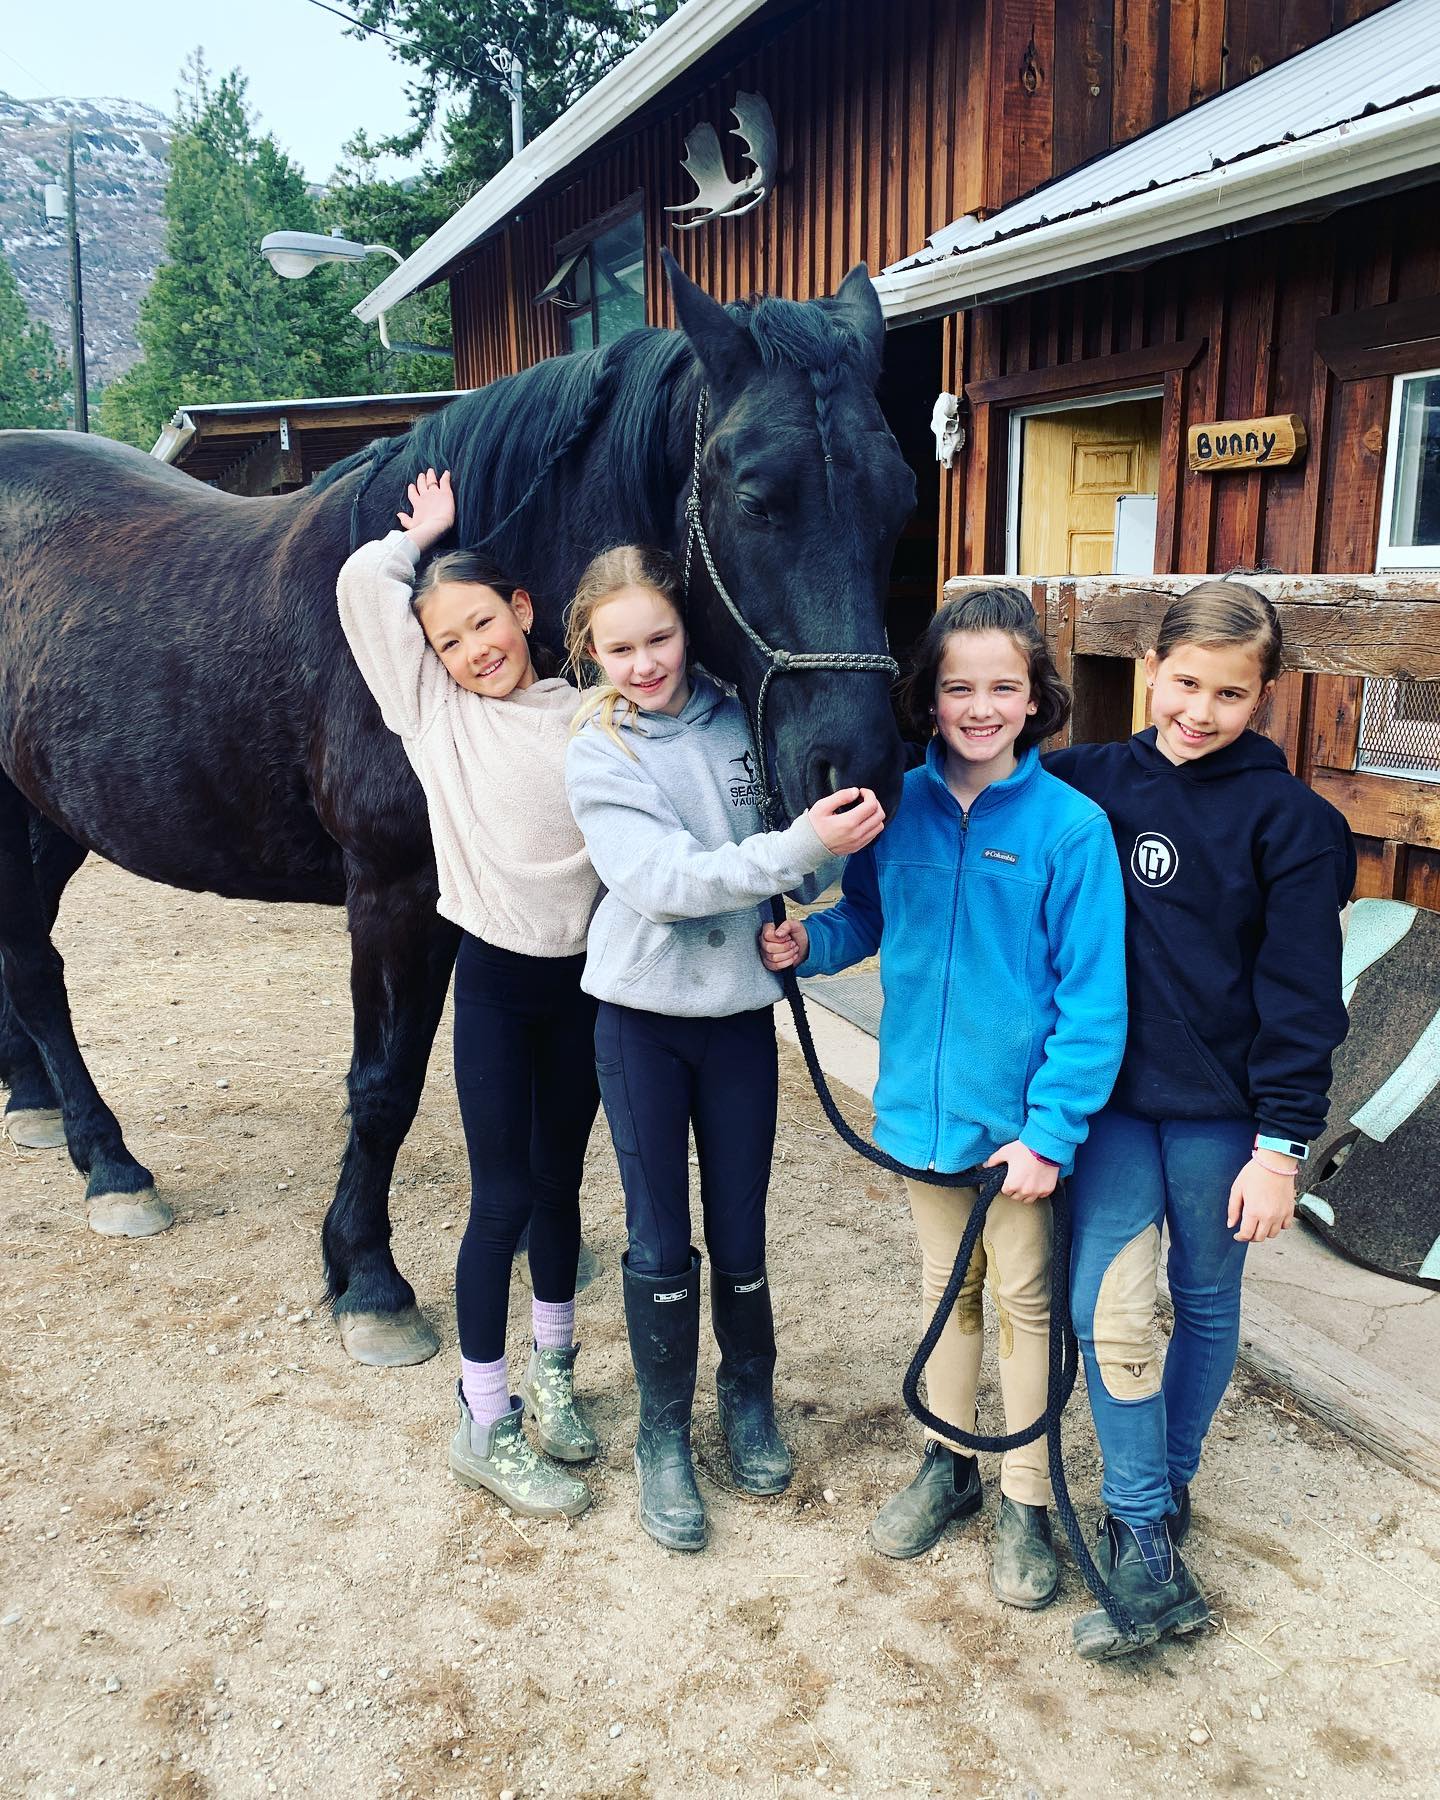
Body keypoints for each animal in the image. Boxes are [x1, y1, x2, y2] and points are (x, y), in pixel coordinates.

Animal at [0, 253, 916, 1367]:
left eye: (900, 498)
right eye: (755, 498)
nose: (854, 769)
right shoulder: (394, 893)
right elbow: (384, 1083)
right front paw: (368, 1277)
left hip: (49, 815)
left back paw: (38, 1106)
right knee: (34, 965)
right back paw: (110, 1162)